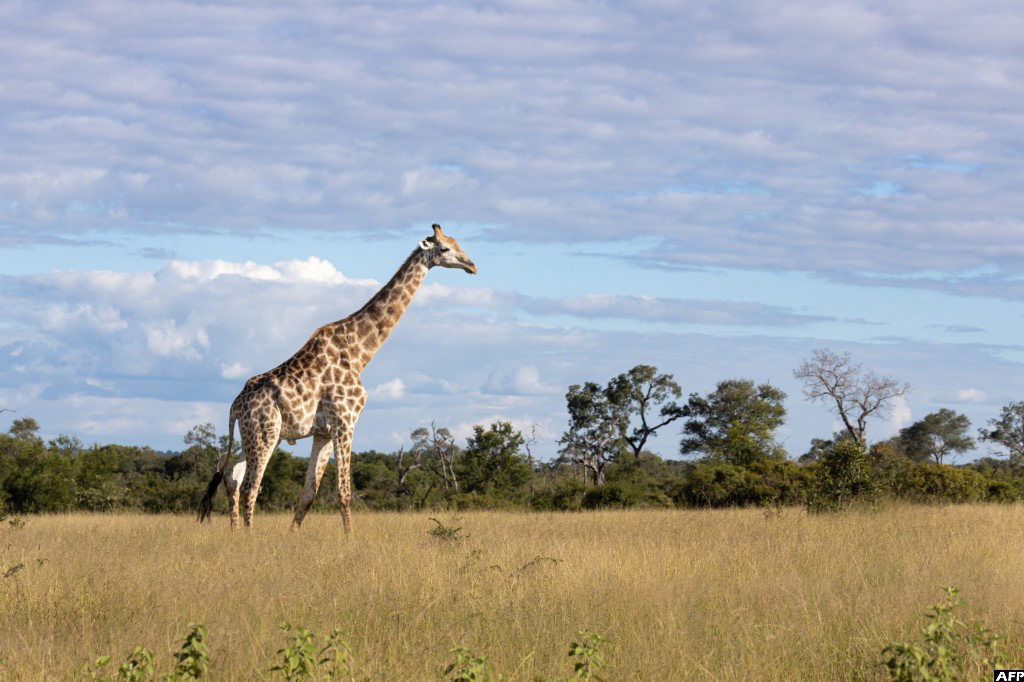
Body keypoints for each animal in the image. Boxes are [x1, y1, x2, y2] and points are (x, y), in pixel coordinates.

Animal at [197, 224, 476, 532]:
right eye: (445, 248)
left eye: (457, 243)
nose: (471, 265)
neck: (359, 353)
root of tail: (235, 405)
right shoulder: (345, 422)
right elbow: (344, 491)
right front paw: (350, 539)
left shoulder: (323, 432)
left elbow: (309, 492)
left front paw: (292, 536)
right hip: (264, 433)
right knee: (250, 486)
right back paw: (249, 536)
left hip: (258, 435)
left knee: (232, 476)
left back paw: (235, 534)